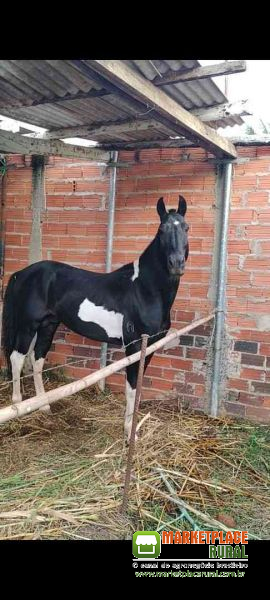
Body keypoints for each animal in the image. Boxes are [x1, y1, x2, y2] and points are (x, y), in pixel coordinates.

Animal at [1, 197, 190, 440]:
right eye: (161, 229)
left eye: (186, 227)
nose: (176, 264)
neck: (144, 289)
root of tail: (21, 274)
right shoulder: (134, 346)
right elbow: (131, 389)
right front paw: (129, 432)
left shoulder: (151, 346)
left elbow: (138, 388)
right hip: (28, 325)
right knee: (17, 358)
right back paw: (17, 404)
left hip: (48, 325)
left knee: (37, 359)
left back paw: (43, 406)